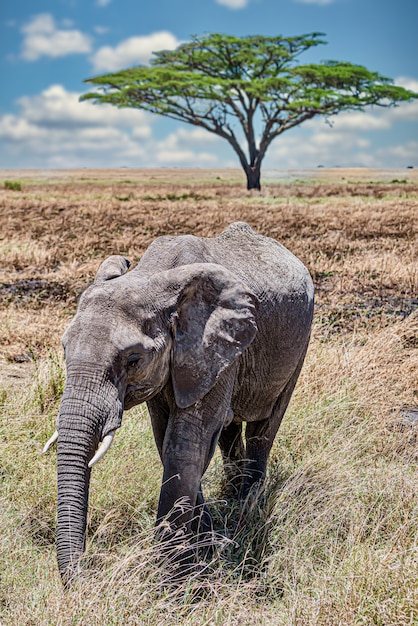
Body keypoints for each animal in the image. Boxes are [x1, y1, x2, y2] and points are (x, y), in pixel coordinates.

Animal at [45, 219, 314, 580]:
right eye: (64, 349)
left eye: (133, 360)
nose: (86, 576)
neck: (152, 279)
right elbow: (167, 439)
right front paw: (206, 541)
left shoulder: (211, 345)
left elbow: (185, 443)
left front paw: (171, 577)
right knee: (228, 431)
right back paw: (231, 496)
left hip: (299, 341)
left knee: (264, 428)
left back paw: (248, 505)